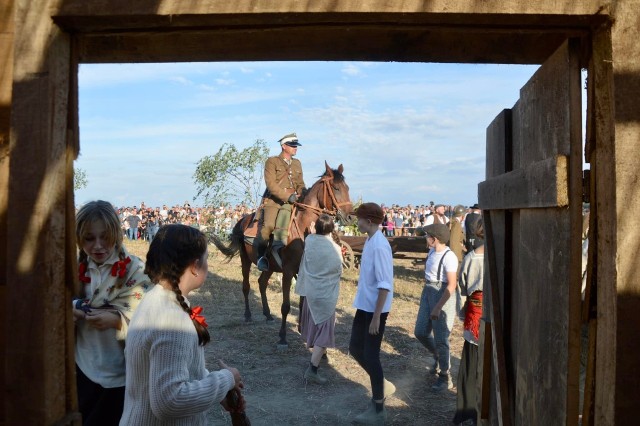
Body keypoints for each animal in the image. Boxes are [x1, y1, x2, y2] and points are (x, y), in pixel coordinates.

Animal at [214, 161, 356, 348]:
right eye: (336, 188)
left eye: (347, 187)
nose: (350, 217)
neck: (303, 227)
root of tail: (242, 220)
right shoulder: (288, 272)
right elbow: (286, 306)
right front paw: (282, 337)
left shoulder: (303, 271)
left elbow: (303, 301)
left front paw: (302, 328)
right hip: (246, 261)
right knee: (246, 286)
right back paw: (248, 315)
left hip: (269, 266)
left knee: (262, 283)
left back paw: (267, 314)